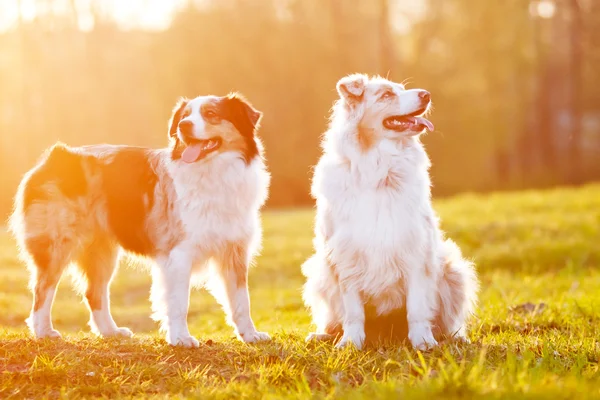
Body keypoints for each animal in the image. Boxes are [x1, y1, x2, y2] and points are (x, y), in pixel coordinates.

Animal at [8, 92, 270, 346]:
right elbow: (178, 303)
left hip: (102, 251)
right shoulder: (179, 253)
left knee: (94, 293)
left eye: (211, 113)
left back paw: (110, 331)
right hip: (57, 244)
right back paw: (43, 331)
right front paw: (180, 338)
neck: (213, 173)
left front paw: (250, 335)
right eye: (185, 115)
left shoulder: (234, 251)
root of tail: (54, 157)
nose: (183, 126)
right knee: (42, 289)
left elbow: (241, 301)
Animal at [302, 75, 480, 350]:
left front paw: (423, 341)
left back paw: (451, 337)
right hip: (319, 273)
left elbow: (417, 308)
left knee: (447, 321)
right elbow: (353, 311)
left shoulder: (416, 249)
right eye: (386, 95)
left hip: (453, 270)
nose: (426, 94)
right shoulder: (346, 255)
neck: (379, 170)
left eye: (401, 89)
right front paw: (351, 342)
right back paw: (325, 334)